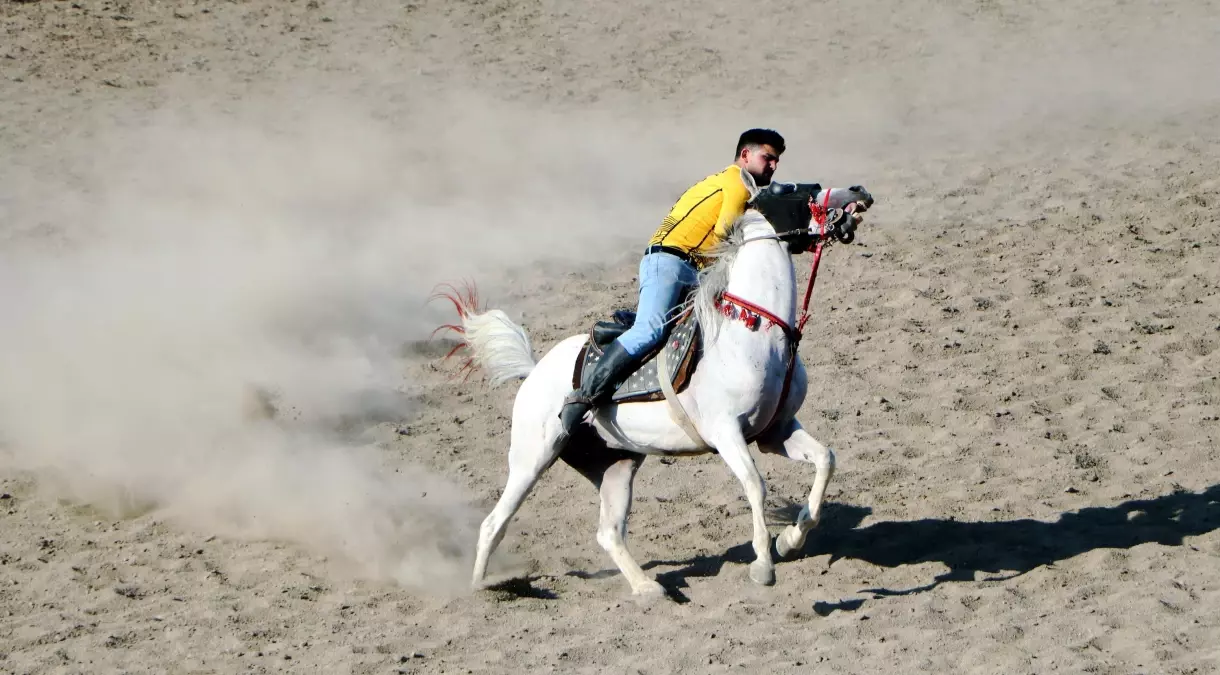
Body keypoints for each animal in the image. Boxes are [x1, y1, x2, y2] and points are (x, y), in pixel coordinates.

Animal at [444, 184, 873, 595]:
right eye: (796, 189)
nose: (859, 194)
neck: (755, 331)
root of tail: (535, 371)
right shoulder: (726, 432)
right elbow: (755, 485)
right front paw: (764, 566)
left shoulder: (775, 431)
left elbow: (825, 459)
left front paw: (790, 540)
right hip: (532, 457)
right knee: (494, 522)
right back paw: (483, 589)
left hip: (617, 465)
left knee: (608, 532)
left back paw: (647, 588)